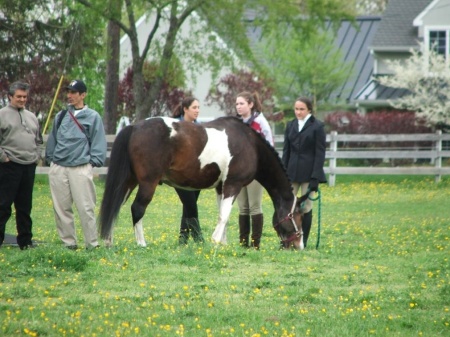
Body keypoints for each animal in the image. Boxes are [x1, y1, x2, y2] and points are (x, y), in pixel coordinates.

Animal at [99, 117, 306, 248]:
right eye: (296, 216)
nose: (299, 245)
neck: (250, 144)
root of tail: (134, 127)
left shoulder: (221, 188)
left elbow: (224, 215)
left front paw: (223, 243)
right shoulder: (233, 185)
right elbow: (224, 216)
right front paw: (215, 242)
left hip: (129, 181)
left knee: (115, 206)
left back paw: (109, 241)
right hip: (148, 183)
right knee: (137, 209)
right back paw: (141, 243)